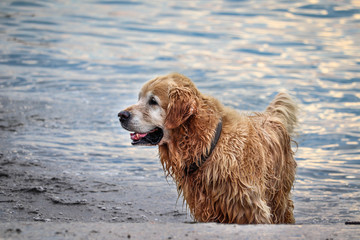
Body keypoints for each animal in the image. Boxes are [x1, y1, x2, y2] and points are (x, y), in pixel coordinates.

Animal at [119, 72, 298, 224]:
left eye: (153, 101)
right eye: (139, 98)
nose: (121, 115)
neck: (207, 145)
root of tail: (271, 118)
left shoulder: (250, 207)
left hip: (279, 196)